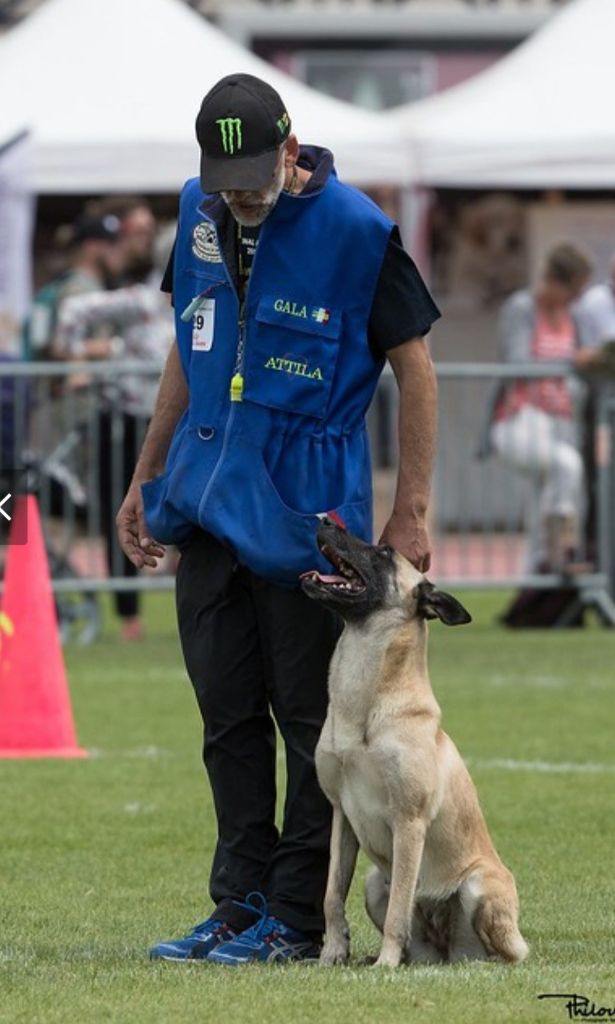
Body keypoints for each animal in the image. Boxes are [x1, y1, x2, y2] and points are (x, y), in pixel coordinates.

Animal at [298, 524, 523, 962]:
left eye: (384, 552)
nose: (323, 520)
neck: (367, 706)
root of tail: (453, 954)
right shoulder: (342, 816)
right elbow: (332, 895)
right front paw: (332, 954)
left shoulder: (409, 821)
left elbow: (399, 908)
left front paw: (384, 962)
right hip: (373, 883)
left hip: (478, 887)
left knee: (508, 955)